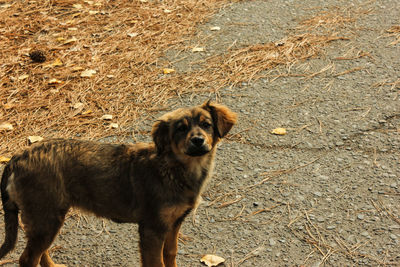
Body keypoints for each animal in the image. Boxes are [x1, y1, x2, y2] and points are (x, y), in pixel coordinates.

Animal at [0, 101, 238, 266]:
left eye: (207, 125)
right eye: (180, 129)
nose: (198, 140)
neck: (174, 168)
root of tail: (17, 157)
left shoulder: (174, 223)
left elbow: (170, 255)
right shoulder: (152, 228)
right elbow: (157, 262)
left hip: (46, 218)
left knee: (40, 252)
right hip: (46, 217)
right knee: (28, 258)